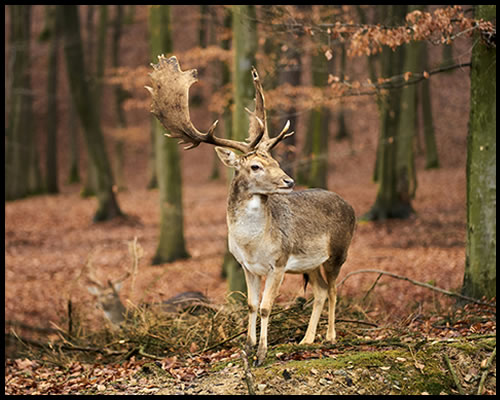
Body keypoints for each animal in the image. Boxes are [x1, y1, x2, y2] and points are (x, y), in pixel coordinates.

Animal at [146, 55, 356, 366]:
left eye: (275, 160)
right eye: (256, 165)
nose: (289, 181)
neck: (252, 243)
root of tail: (351, 206)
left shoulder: (279, 261)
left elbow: (268, 307)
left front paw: (262, 354)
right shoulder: (246, 266)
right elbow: (251, 305)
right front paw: (247, 347)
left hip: (338, 252)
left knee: (332, 289)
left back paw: (329, 337)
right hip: (310, 263)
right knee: (319, 291)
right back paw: (306, 339)